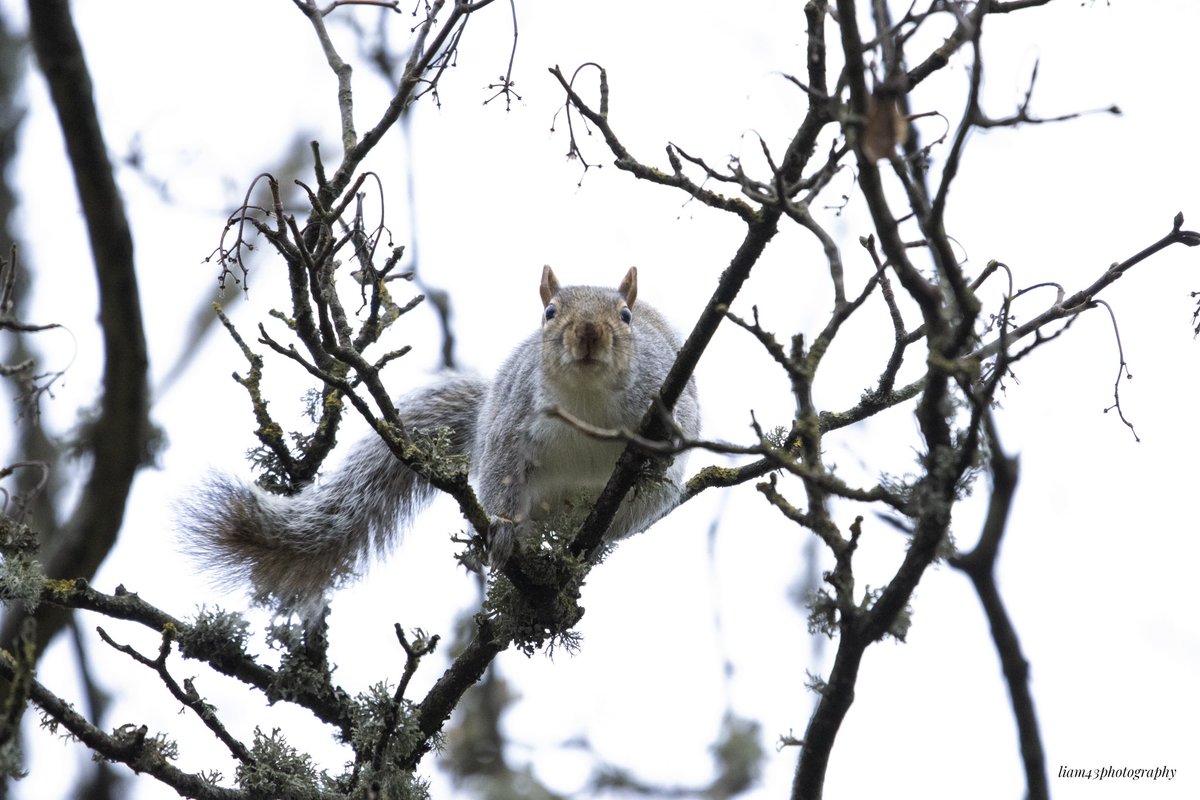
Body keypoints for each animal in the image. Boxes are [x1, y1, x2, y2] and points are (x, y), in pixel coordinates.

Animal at [182, 266, 700, 609]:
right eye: (550, 312)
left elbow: (680, 432)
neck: (586, 401)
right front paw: (504, 530)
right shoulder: (511, 424)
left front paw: (655, 453)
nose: (589, 333)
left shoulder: (665, 393)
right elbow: (501, 472)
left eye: (626, 316)